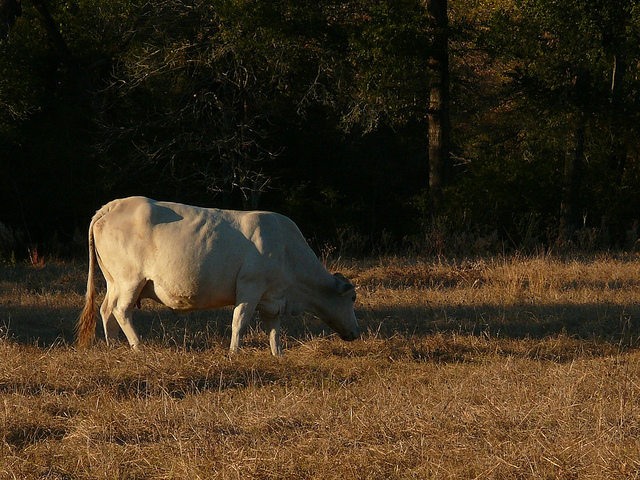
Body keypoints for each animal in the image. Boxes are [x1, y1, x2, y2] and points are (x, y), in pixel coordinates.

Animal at [76, 196, 359, 355]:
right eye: (353, 299)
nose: (357, 332)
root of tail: (113, 206)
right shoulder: (250, 287)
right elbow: (239, 321)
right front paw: (234, 353)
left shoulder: (272, 297)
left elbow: (274, 329)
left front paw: (277, 354)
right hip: (130, 281)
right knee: (121, 311)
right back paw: (138, 347)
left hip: (114, 282)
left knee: (106, 310)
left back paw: (113, 347)